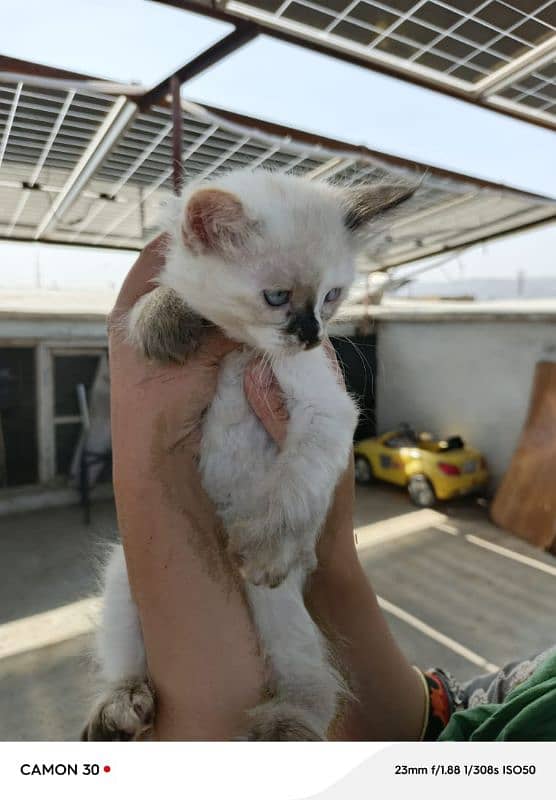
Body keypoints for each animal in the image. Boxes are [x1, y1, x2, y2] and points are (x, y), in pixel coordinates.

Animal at [81, 170, 412, 744]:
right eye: (277, 297)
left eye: (331, 297)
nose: (312, 335)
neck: (240, 349)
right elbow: (165, 296)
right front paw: (165, 320)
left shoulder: (326, 410)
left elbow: (293, 487)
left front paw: (263, 550)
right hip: (125, 584)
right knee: (127, 665)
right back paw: (119, 711)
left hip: (279, 616)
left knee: (316, 688)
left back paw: (281, 728)